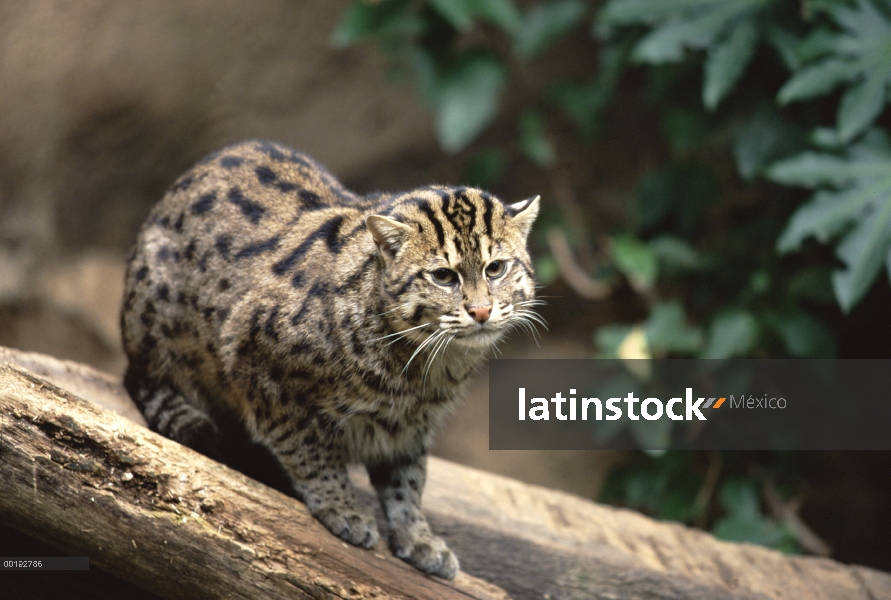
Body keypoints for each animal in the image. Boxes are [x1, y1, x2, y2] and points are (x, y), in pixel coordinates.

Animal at [121, 138, 540, 580]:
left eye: (496, 268)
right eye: (443, 276)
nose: (481, 311)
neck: (423, 363)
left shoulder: (412, 426)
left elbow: (408, 480)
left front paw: (418, 536)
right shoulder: (256, 363)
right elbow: (307, 447)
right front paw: (342, 507)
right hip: (157, 330)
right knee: (144, 380)